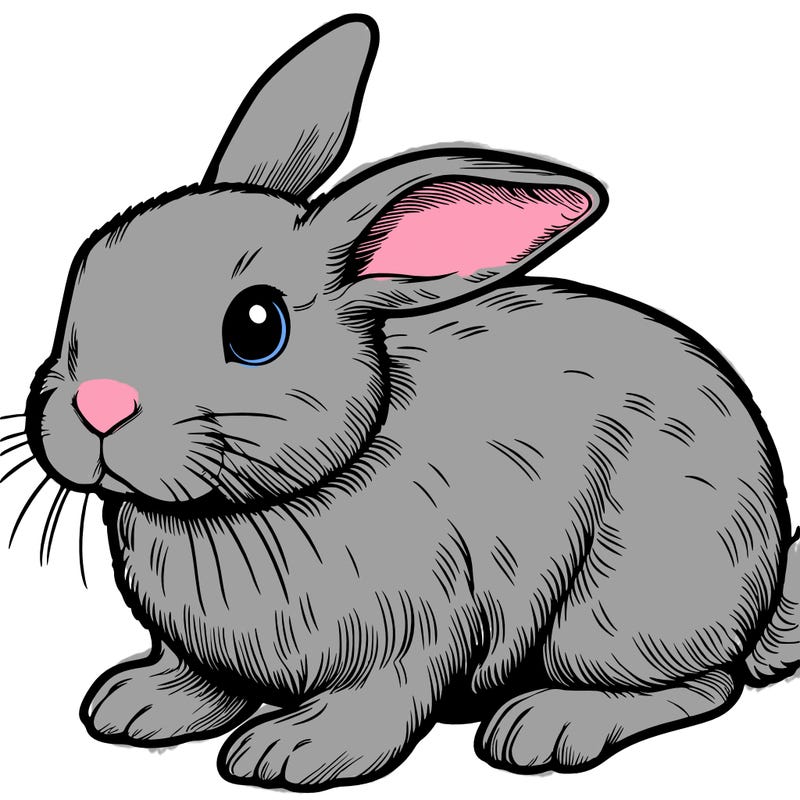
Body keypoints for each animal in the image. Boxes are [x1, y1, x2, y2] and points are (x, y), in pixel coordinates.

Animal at [14, 12, 800, 792]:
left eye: (257, 326)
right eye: (85, 269)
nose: (100, 405)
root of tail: (764, 589)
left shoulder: (417, 631)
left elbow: (381, 701)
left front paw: (292, 751)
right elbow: (200, 679)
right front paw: (136, 705)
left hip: (619, 609)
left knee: (705, 684)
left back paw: (546, 725)